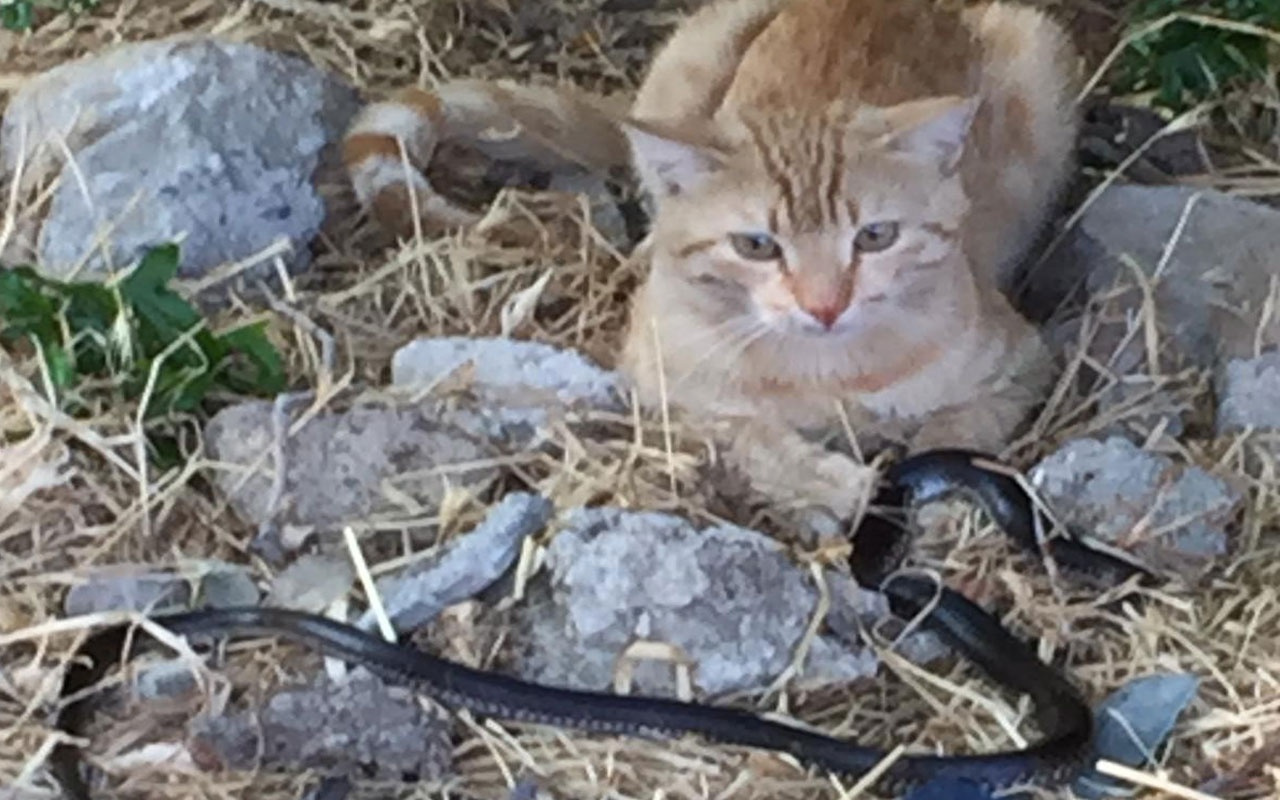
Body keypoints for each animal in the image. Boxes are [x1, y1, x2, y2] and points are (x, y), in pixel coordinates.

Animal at [343, 0, 1080, 517]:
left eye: (875, 236)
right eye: (756, 245)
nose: (825, 305)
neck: (824, 374)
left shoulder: (1023, 362)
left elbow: (958, 432)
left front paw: (922, 481)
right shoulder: (658, 383)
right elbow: (744, 434)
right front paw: (832, 484)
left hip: (1040, 51)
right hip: (686, 59)